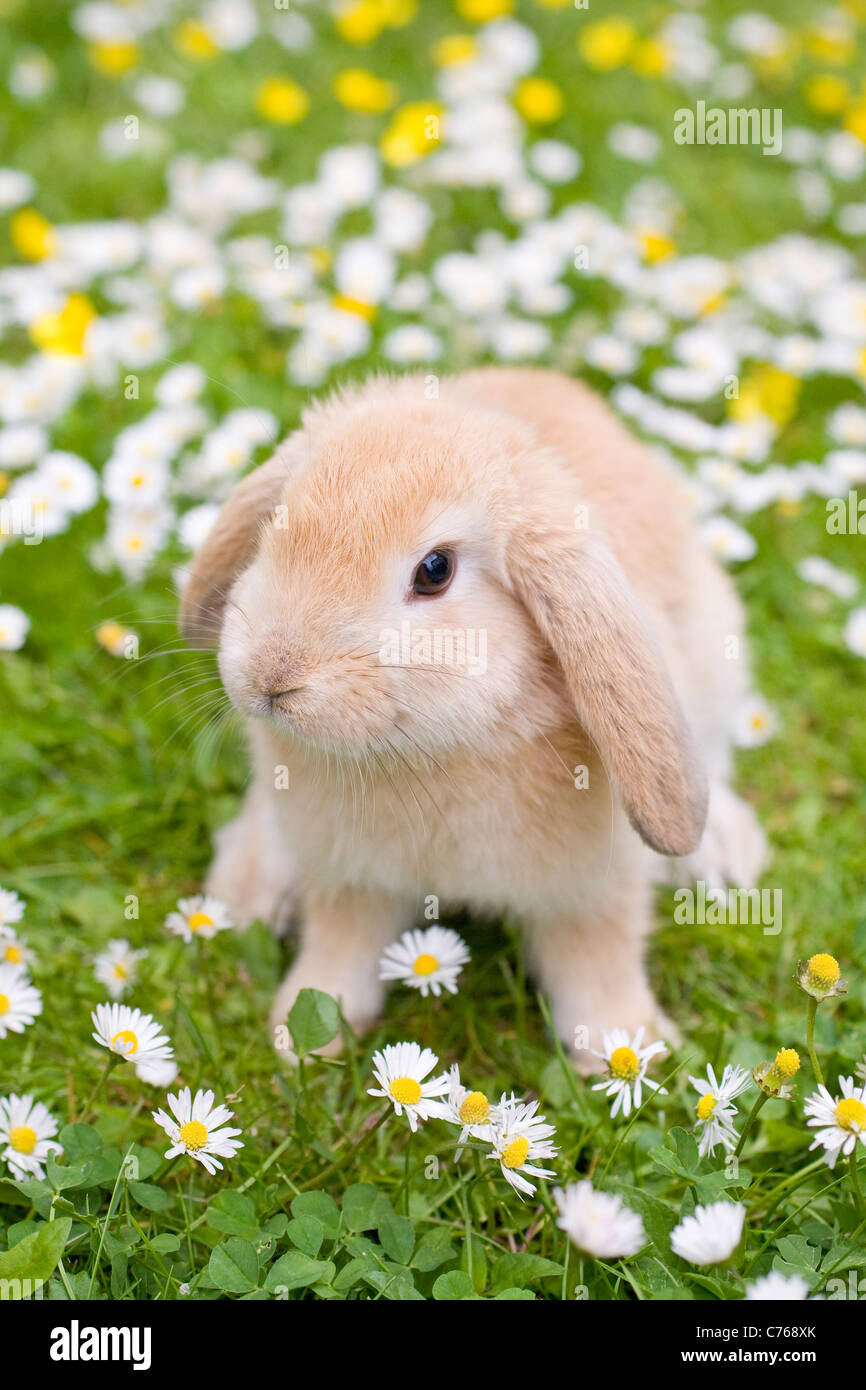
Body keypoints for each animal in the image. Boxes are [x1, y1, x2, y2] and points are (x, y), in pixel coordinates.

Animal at [179, 367, 767, 1071]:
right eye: (273, 526)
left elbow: (599, 962)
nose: (272, 676)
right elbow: (339, 948)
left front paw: (629, 1052)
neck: (426, 751)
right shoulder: (348, 877)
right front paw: (303, 1041)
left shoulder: (594, 890)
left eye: (436, 570)